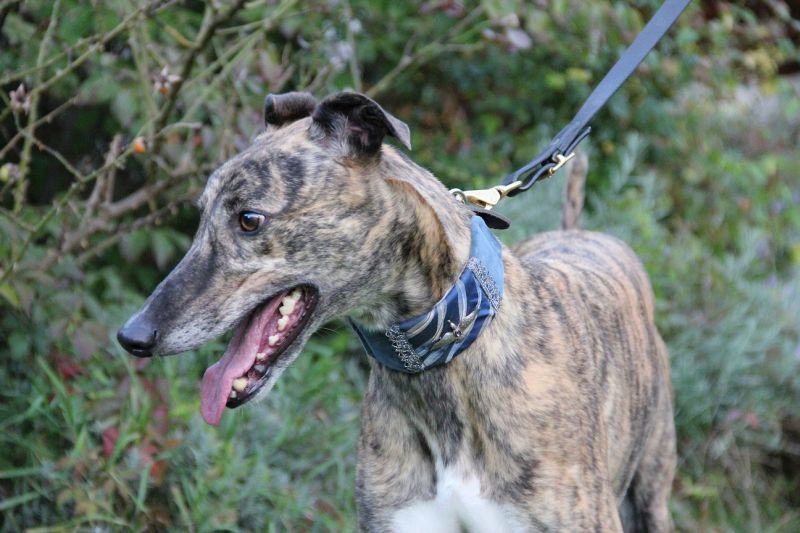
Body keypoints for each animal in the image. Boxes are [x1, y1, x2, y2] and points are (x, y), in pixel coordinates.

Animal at [118, 91, 676, 532]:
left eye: (249, 219)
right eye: (200, 214)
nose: (131, 336)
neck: (447, 356)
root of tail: (579, 232)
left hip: (651, 488)